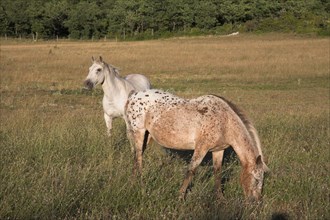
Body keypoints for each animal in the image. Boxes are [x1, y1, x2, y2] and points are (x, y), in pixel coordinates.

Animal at [125, 89, 270, 201]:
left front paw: (220, 199)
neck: (225, 121)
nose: (256, 201)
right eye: (257, 180)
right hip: (138, 133)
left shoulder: (218, 150)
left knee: (135, 158)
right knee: (139, 159)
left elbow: (217, 172)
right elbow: (191, 171)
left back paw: (132, 183)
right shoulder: (201, 148)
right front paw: (180, 197)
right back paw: (141, 185)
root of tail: (133, 95)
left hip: (147, 136)